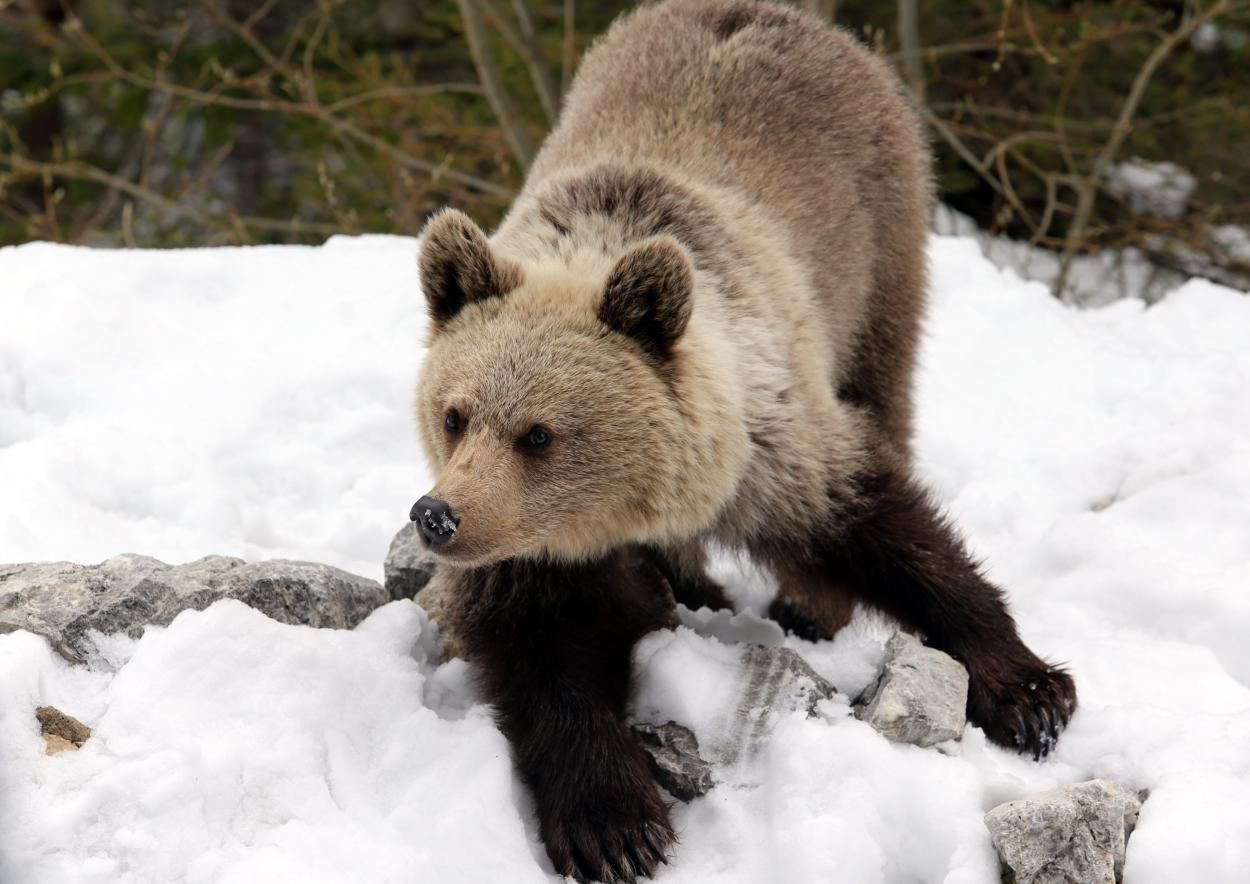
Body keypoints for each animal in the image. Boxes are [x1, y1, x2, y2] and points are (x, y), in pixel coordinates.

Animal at [407, 1, 1075, 880]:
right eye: (455, 414)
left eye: (539, 433)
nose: (438, 515)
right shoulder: (534, 550)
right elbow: (547, 657)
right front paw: (613, 823)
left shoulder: (774, 440)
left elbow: (881, 524)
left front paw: (1030, 692)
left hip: (878, 252)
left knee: (885, 392)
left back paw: (803, 608)